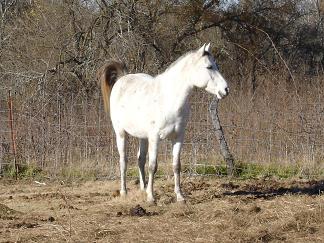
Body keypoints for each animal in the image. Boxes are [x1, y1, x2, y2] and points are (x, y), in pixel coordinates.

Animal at [98, 43, 228, 201]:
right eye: (209, 67)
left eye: (217, 65)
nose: (225, 90)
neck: (169, 99)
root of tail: (122, 78)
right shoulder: (155, 138)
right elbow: (153, 166)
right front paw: (151, 197)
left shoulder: (178, 137)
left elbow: (176, 165)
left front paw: (179, 196)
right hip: (121, 134)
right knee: (123, 161)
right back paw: (124, 192)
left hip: (143, 137)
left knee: (140, 159)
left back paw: (143, 188)